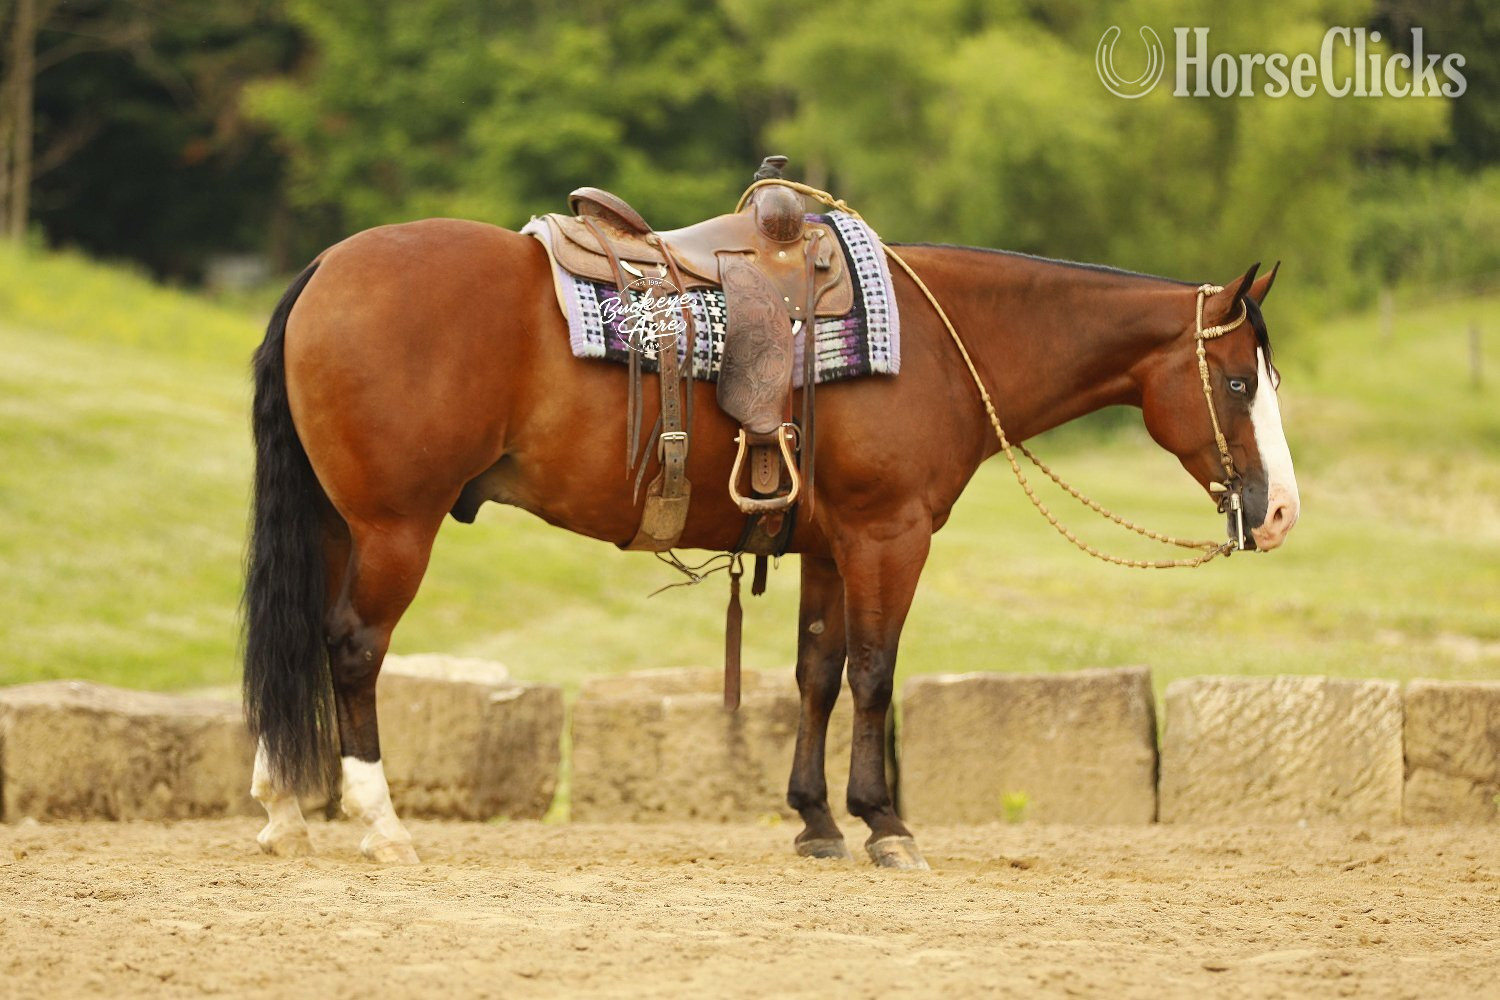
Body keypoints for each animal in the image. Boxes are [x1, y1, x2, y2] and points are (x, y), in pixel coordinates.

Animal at [242, 217, 1299, 868]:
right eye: (1239, 382)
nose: (1281, 512)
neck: (936, 343)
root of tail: (325, 270)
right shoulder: (887, 536)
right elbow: (874, 671)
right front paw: (885, 823)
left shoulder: (830, 548)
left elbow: (817, 673)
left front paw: (816, 821)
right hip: (394, 529)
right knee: (353, 648)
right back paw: (383, 827)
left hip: (337, 525)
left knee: (300, 639)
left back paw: (284, 808)